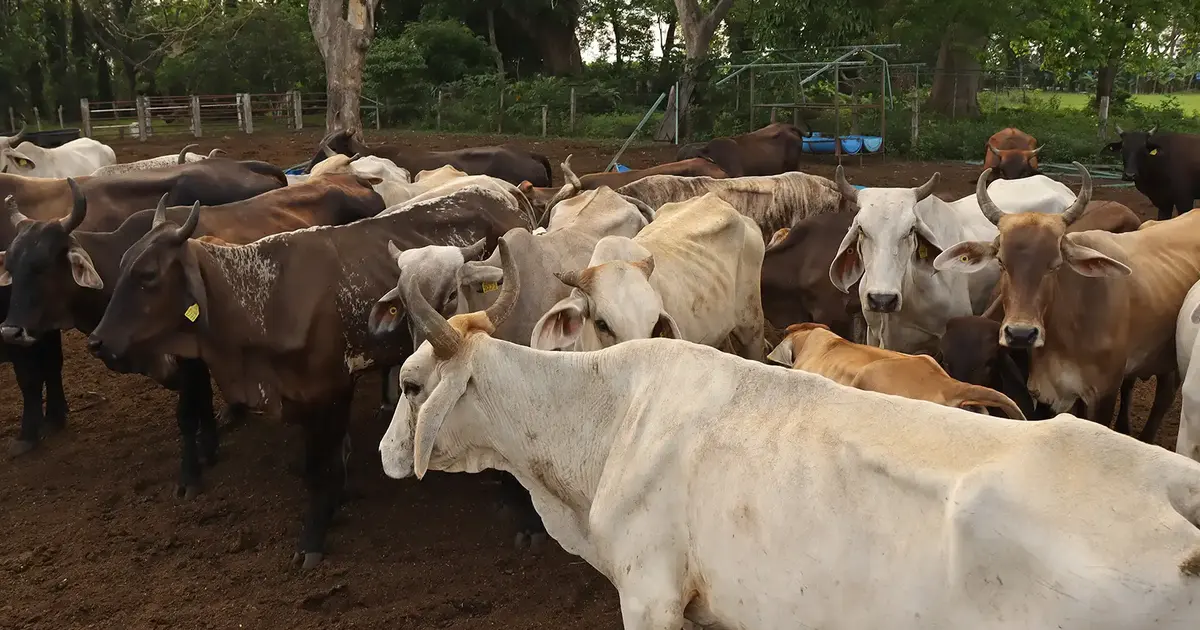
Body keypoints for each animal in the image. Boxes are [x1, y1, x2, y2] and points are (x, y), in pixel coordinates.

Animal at [86, 186, 535, 567]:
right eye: (121, 266)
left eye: (147, 275)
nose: (98, 341)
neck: (267, 298)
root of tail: (506, 193)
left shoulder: (330, 390)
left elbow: (320, 469)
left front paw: (313, 538)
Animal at [934, 164, 1199, 440]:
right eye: (1001, 262)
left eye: (1055, 264)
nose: (1020, 334)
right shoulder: (1045, 394)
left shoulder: (1103, 394)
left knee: (1164, 396)